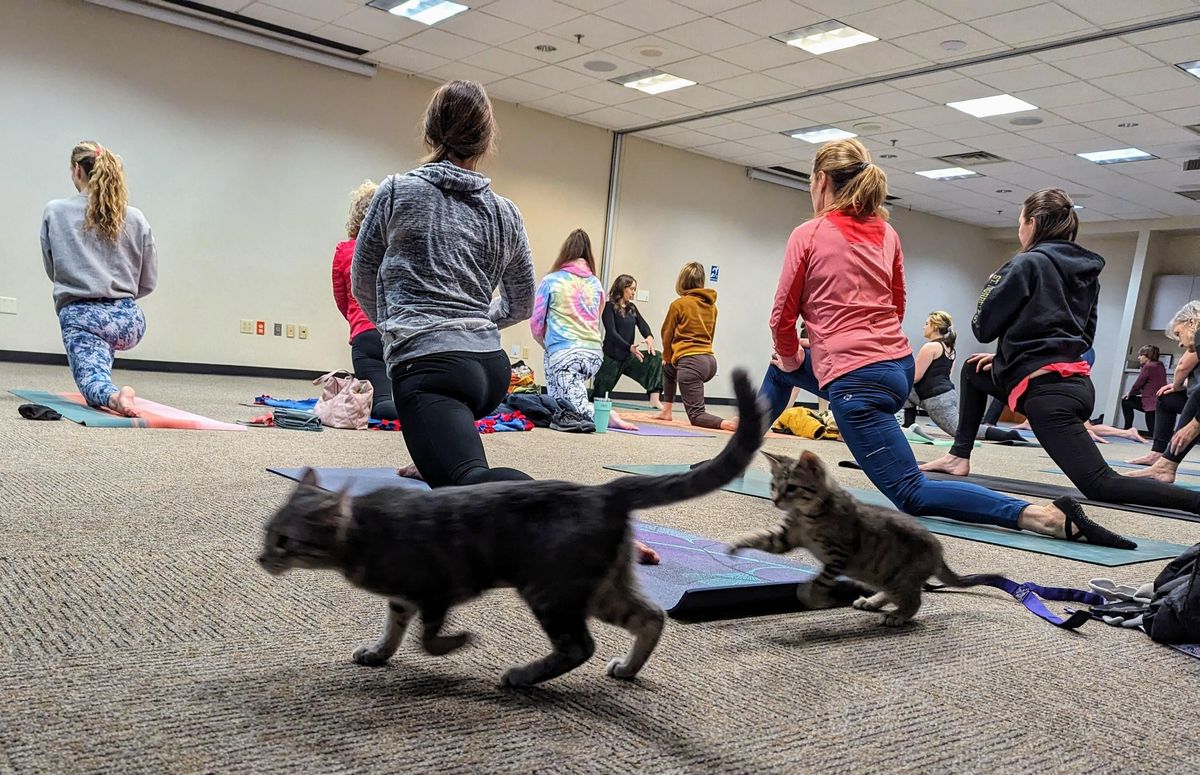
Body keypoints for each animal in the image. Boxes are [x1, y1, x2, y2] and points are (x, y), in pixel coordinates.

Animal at [259, 374, 768, 691]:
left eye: (282, 540)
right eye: (266, 534)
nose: (261, 558)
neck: (367, 530)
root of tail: (604, 492)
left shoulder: (437, 590)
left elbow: (427, 637)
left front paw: (457, 644)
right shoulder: (404, 597)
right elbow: (393, 629)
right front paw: (377, 653)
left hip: (551, 590)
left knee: (580, 645)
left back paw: (522, 676)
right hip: (599, 586)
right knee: (651, 617)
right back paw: (626, 668)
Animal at [724, 448, 988, 623]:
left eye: (791, 488)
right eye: (773, 486)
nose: (776, 501)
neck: (808, 515)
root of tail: (938, 550)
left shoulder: (838, 555)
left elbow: (815, 584)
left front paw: (815, 600)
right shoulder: (785, 538)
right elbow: (761, 538)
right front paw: (737, 544)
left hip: (898, 577)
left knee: (915, 600)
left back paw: (899, 616)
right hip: (882, 576)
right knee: (896, 594)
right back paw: (872, 602)